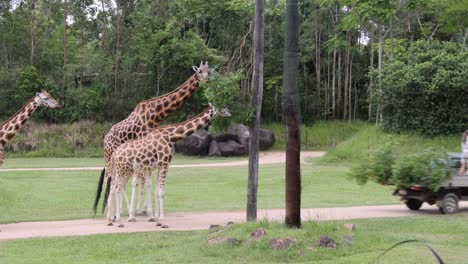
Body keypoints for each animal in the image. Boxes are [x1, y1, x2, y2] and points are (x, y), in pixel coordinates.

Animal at [93, 61, 210, 214]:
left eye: (209, 71)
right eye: (200, 71)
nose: (207, 80)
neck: (156, 114)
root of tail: (105, 138)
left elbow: (146, 180)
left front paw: (142, 209)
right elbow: (142, 180)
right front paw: (139, 210)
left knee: (116, 179)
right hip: (109, 156)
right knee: (110, 178)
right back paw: (110, 211)